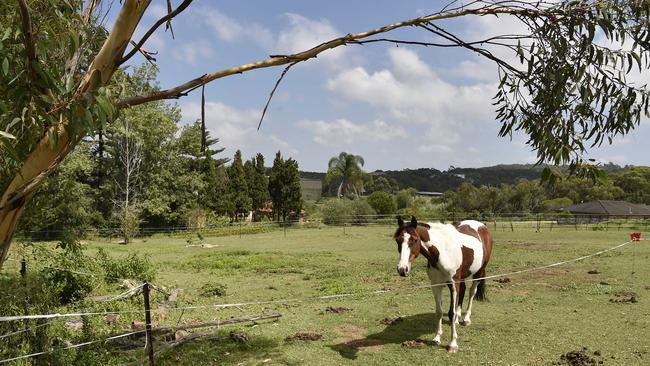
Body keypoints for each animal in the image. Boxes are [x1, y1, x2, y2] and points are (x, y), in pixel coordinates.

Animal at [392, 216, 494, 354]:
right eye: (398, 240)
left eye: (414, 240)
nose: (402, 269)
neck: (442, 251)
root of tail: (482, 226)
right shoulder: (436, 284)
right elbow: (439, 311)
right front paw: (436, 338)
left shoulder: (453, 284)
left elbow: (451, 313)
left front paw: (453, 344)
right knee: (463, 290)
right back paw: (457, 319)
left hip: (479, 272)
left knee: (472, 292)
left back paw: (466, 319)